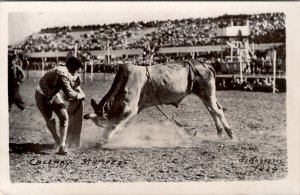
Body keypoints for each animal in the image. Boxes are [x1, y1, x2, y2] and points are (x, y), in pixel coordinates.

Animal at [83, 60, 233, 145]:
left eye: (101, 122)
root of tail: (204, 65)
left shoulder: (129, 109)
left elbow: (115, 124)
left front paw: (101, 140)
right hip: (204, 94)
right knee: (213, 111)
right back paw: (220, 133)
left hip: (207, 93)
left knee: (218, 111)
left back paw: (230, 133)